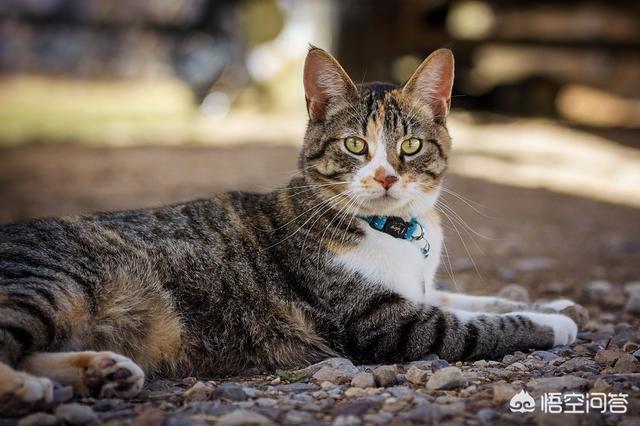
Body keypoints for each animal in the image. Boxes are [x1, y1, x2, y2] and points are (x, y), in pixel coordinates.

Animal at [0, 47, 580, 416]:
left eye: (411, 146)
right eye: (354, 146)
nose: (386, 176)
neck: (395, 230)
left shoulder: (416, 289)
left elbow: (471, 299)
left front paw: (554, 303)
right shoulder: (381, 322)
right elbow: (472, 325)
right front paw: (552, 322)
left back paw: (104, 370)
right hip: (52, 283)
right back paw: (26, 389)